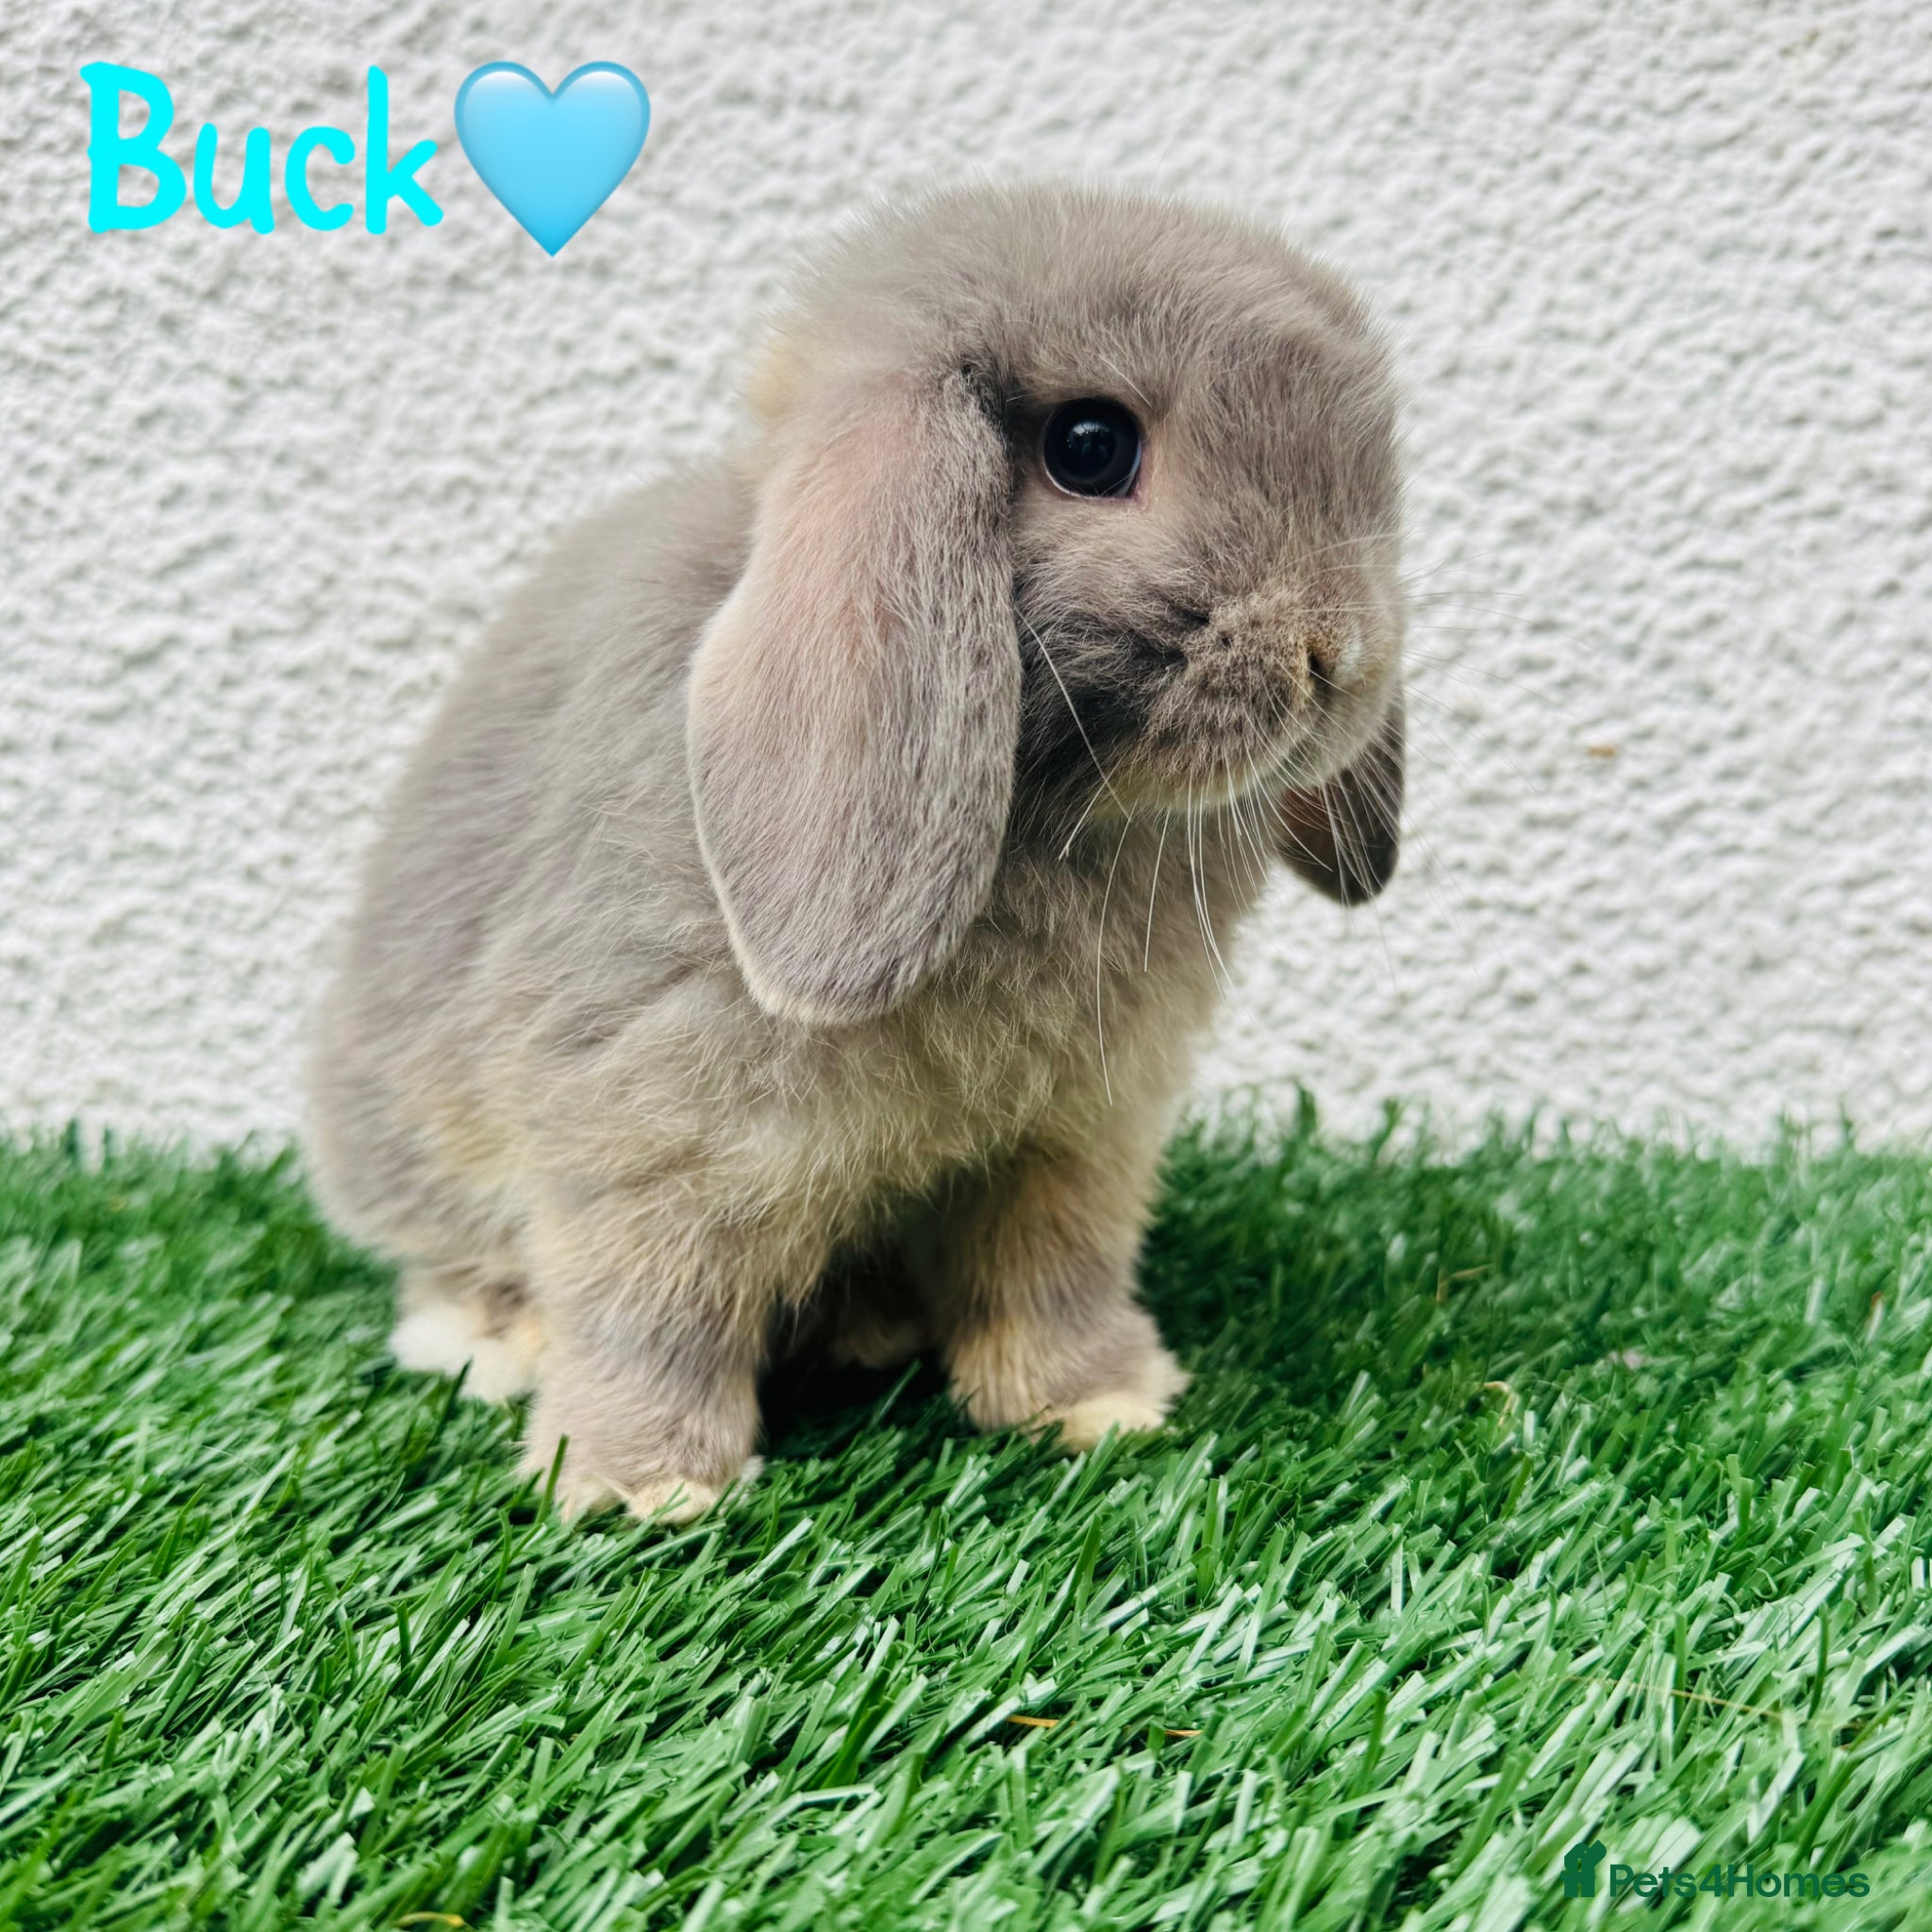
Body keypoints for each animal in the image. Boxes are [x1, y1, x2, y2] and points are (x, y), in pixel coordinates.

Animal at [306, 179, 1407, 1524]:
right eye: (1090, 447)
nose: (1337, 654)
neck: (1057, 817)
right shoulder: (655, 1120)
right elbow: (648, 1308)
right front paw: (641, 1486)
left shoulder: (1071, 1139)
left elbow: (1054, 1272)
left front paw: (1096, 1405)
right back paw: (493, 1339)